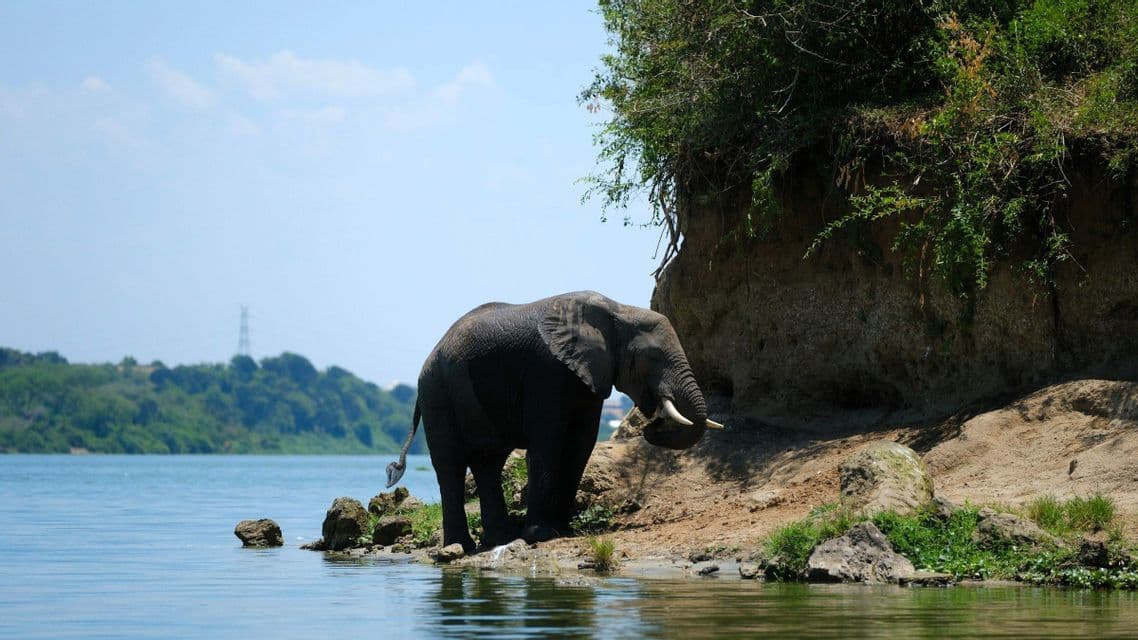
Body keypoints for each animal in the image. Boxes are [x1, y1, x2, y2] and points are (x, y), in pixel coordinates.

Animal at [386, 291, 722, 551]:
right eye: (650, 357)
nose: (651, 425)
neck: (617, 309)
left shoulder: (588, 374)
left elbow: (580, 443)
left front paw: (563, 530)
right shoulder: (547, 369)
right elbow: (548, 440)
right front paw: (540, 535)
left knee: (489, 462)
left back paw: (500, 538)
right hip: (437, 391)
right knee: (451, 464)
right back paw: (460, 546)